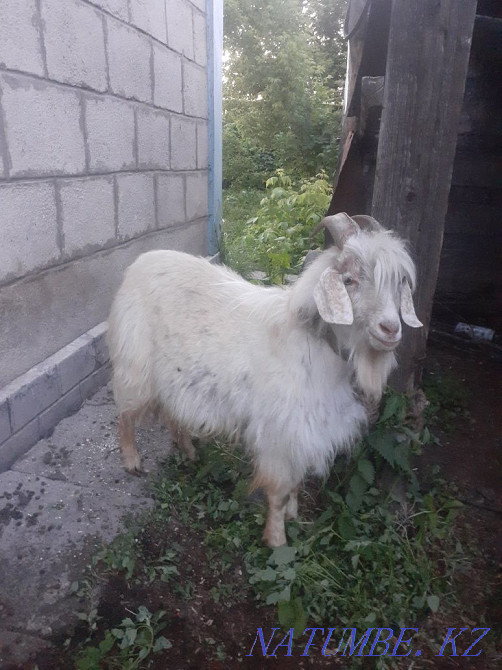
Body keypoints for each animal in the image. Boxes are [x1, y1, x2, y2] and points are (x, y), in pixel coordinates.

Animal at [107, 212, 422, 547]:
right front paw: (277, 539)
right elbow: (280, 491)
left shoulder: (305, 433)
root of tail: (141, 261)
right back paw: (132, 461)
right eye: (348, 280)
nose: (390, 329)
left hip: (174, 377)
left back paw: (189, 451)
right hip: (135, 365)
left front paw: (294, 516)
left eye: (399, 281)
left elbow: (296, 483)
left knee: (172, 411)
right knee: (125, 414)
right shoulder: (280, 435)